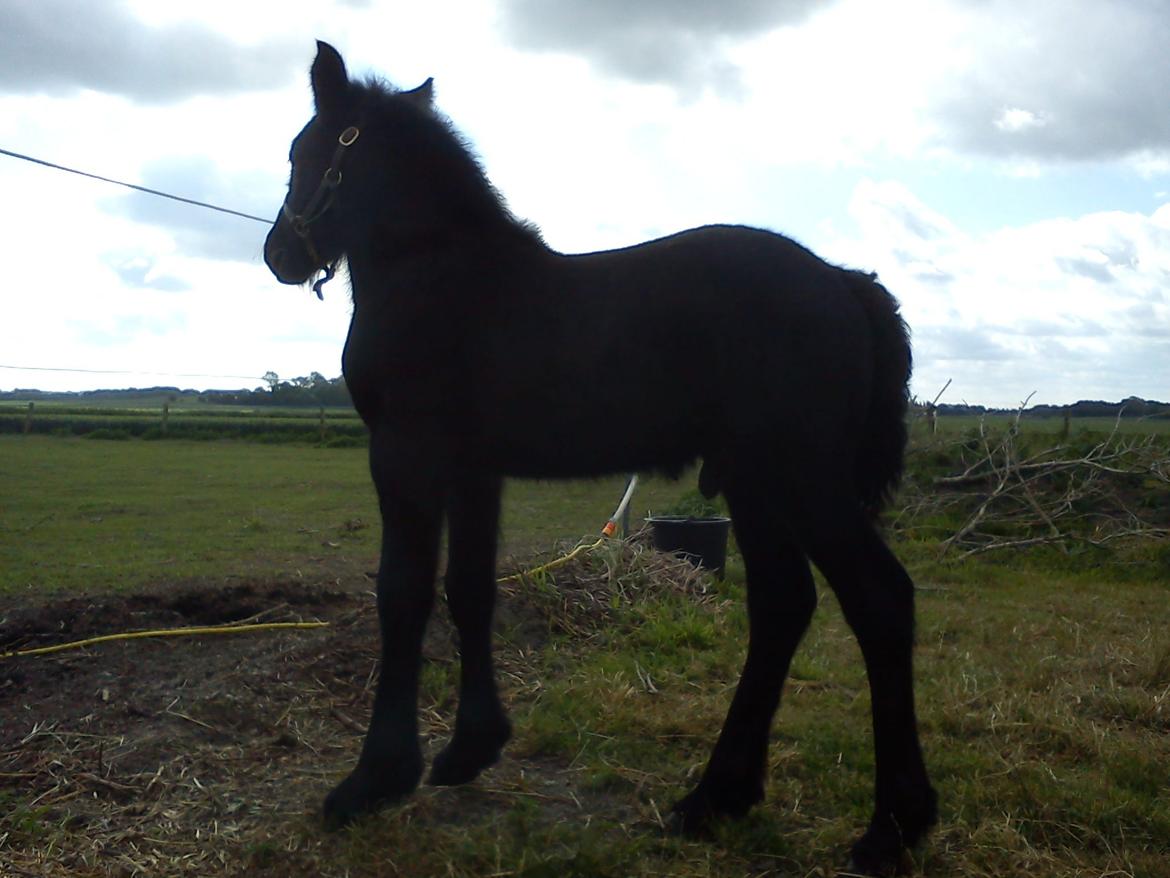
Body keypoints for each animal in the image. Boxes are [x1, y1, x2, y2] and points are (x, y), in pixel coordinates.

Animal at [264, 41, 937, 876]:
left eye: (303, 151)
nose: (279, 255)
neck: (443, 277)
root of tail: (846, 285)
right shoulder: (474, 470)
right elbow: (469, 589)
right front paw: (469, 750)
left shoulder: (405, 457)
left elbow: (404, 595)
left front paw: (373, 780)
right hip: (756, 485)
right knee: (782, 604)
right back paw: (716, 797)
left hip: (803, 480)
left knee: (880, 599)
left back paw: (892, 827)